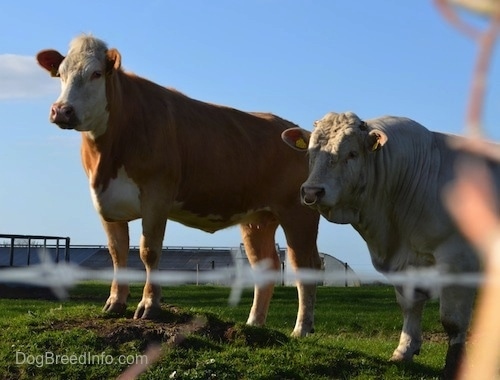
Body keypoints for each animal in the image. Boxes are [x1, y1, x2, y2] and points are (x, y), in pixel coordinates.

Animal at [37, 33, 322, 336]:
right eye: (61, 74)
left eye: (96, 73)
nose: (61, 111)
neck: (109, 155)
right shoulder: (106, 201)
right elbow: (117, 252)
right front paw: (115, 303)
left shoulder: (156, 197)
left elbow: (149, 251)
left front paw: (149, 306)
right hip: (257, 219)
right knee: (265, 267)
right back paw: (253, 324)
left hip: (299, 212)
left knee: (306, 266)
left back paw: (301, 329)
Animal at [282, 111, 500, 378]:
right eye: (310, 152)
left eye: (352, 153)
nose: (312, 191)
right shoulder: (405, 264)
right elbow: (409, 306)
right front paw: (404, 351)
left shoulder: (457, 258)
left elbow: (452, 320)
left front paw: (454, 365)